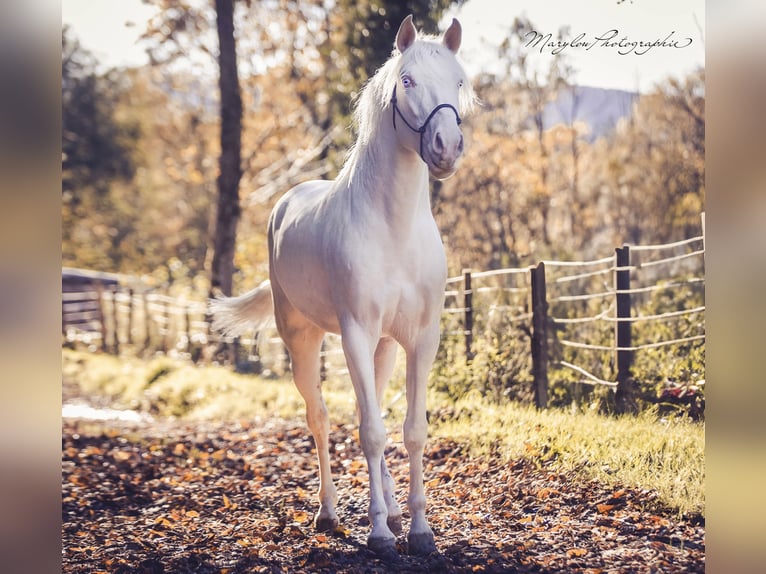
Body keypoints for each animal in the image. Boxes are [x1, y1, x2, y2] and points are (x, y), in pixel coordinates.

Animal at [210, 16, 474, 560]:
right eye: (408, 80)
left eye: (458, 81)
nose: (445, 147)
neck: (393, 226)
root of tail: (286, 202)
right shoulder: (355, 331)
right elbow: (370, 432)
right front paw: (379, 536)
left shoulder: (420, 339)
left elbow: (412, 431)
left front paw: (419, 530)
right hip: (304, 342)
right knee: (321, 418)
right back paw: (329, 513)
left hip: (383, 349)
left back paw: (391, 509)